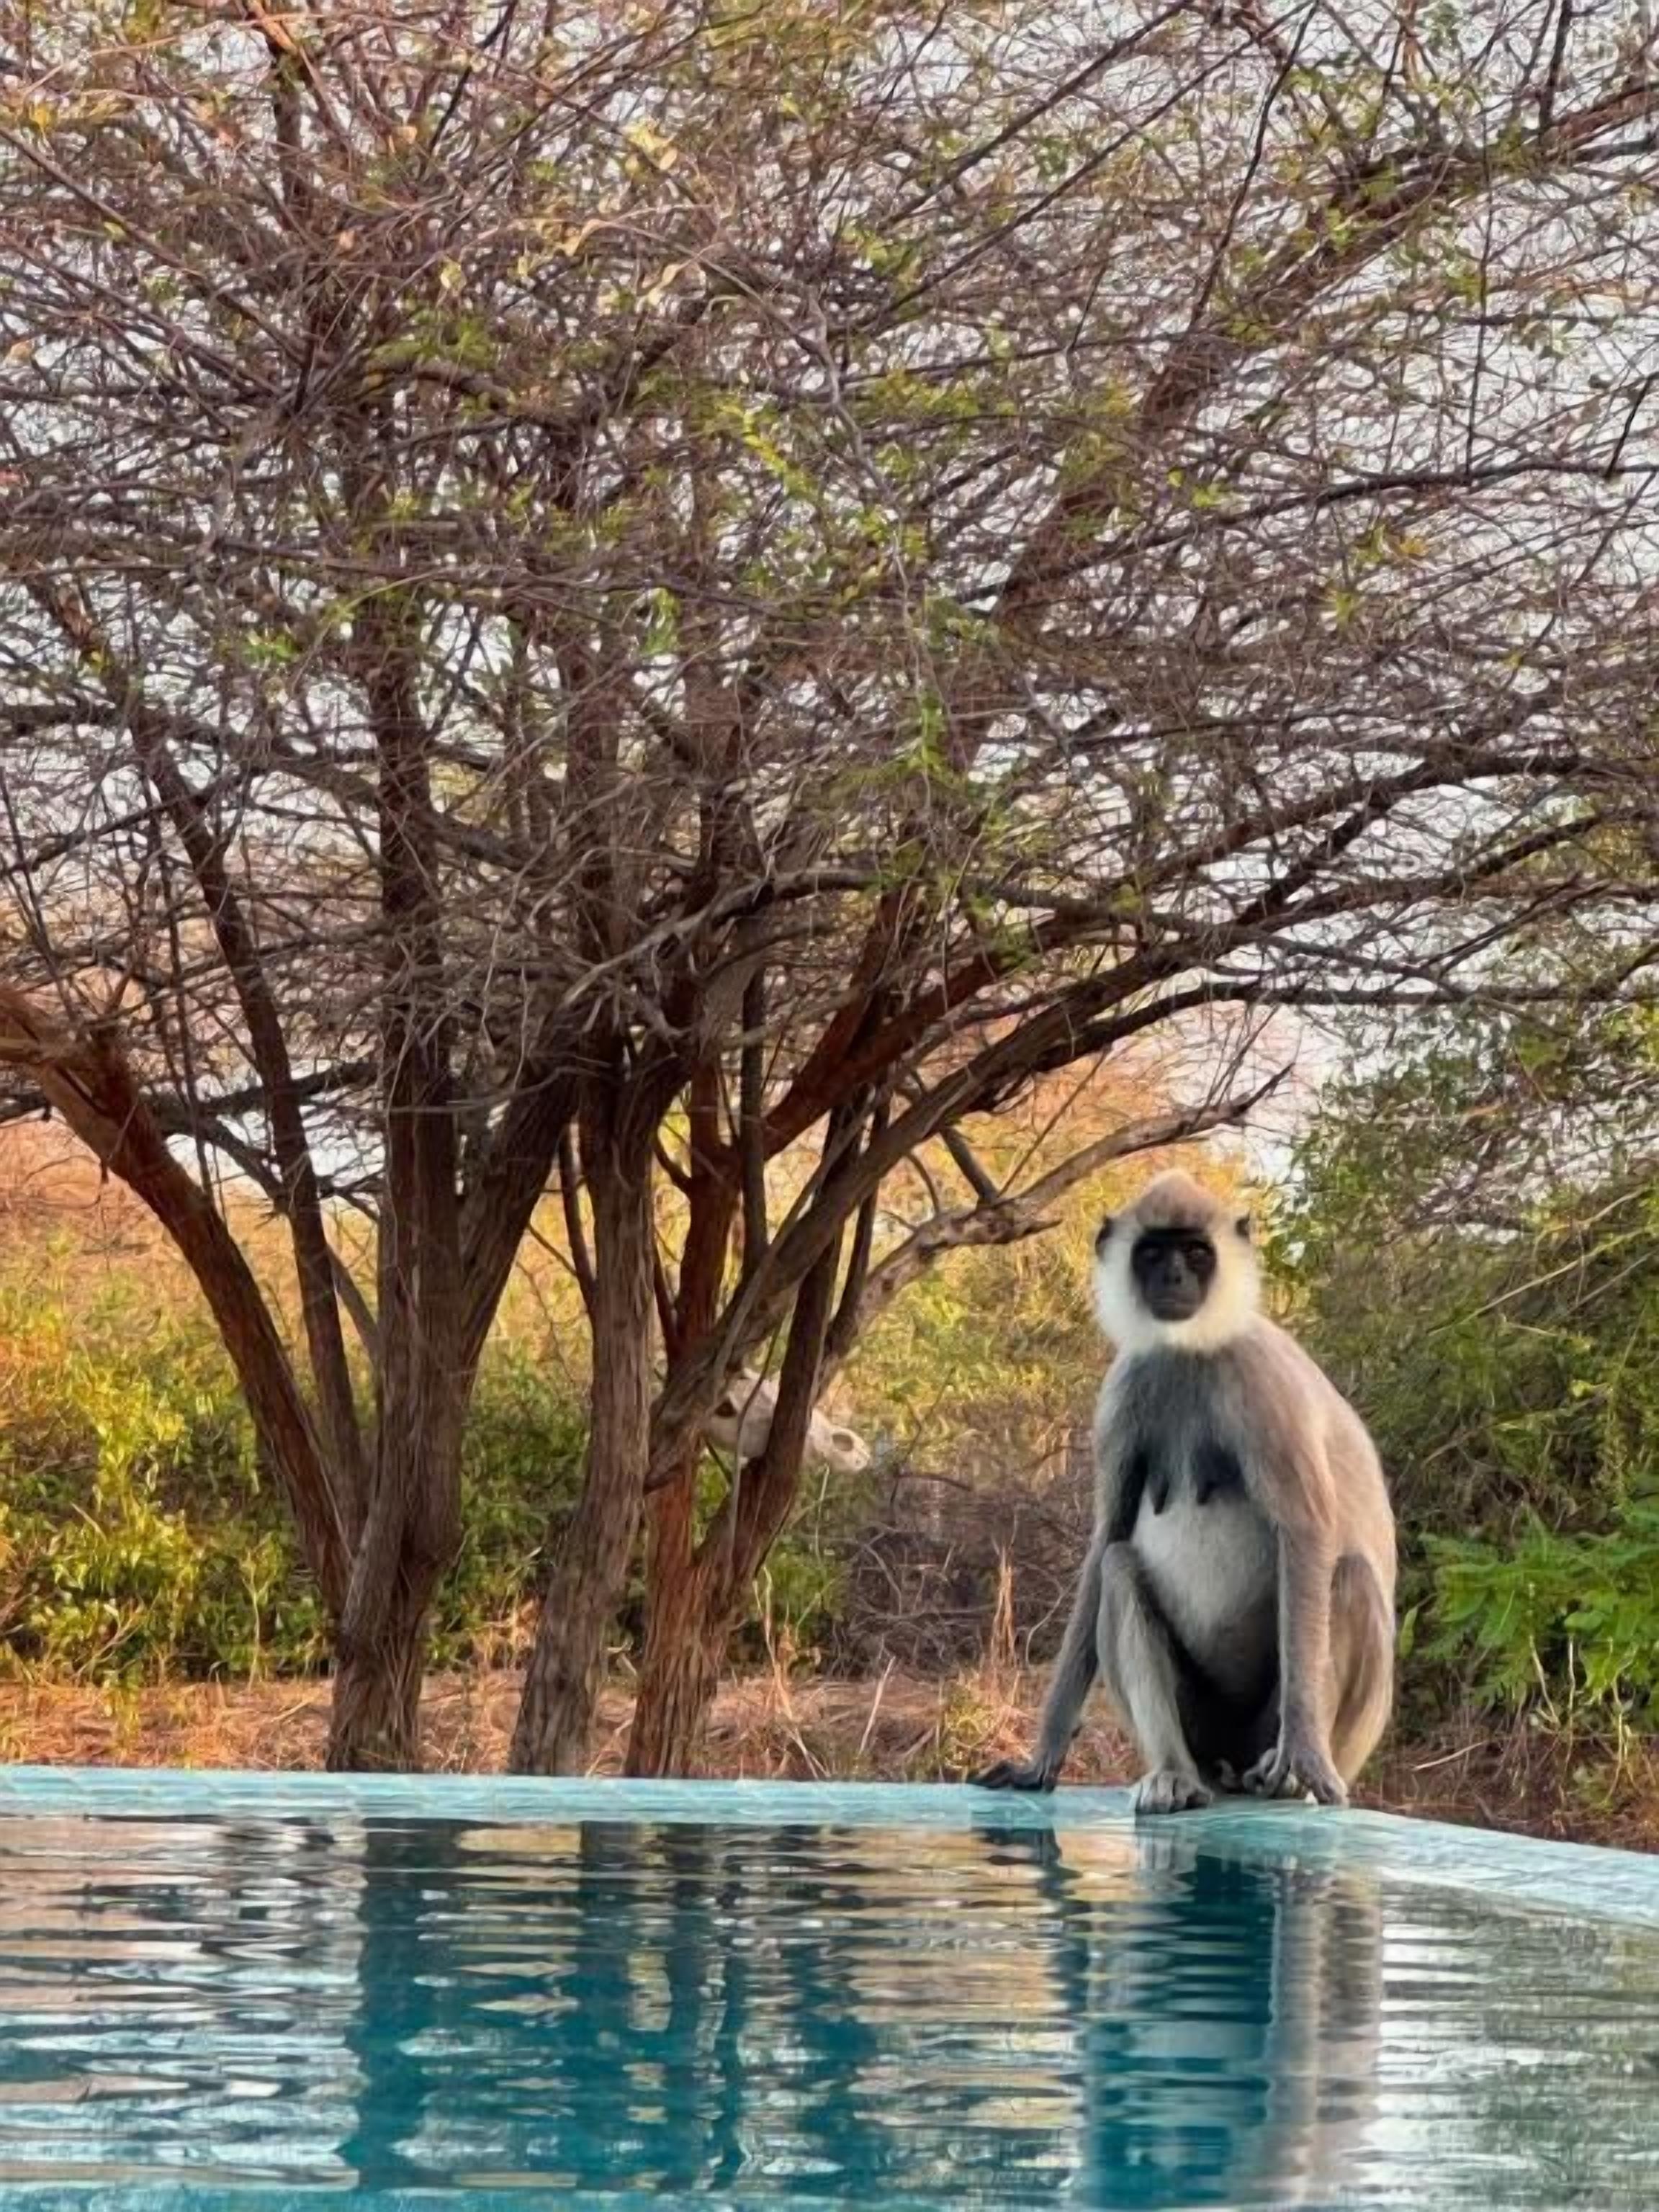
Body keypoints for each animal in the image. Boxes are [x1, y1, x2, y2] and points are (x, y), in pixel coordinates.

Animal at [975, 1170, 1395, 1815]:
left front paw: (1303, 1752)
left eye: (1196, 1253)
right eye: (1153, 1253)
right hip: (1205, 1728)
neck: (1190, 1350)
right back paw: (1176, 1775)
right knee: (1120, 1567)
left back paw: (1285, 1776)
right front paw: (1041, 1757)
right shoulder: (1123, 1391)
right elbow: (1106, 1541)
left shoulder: (1258, 1376)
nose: (1174, 1278)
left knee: (1346, 1576)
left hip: (1287, 1729)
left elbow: (1305, 1533)